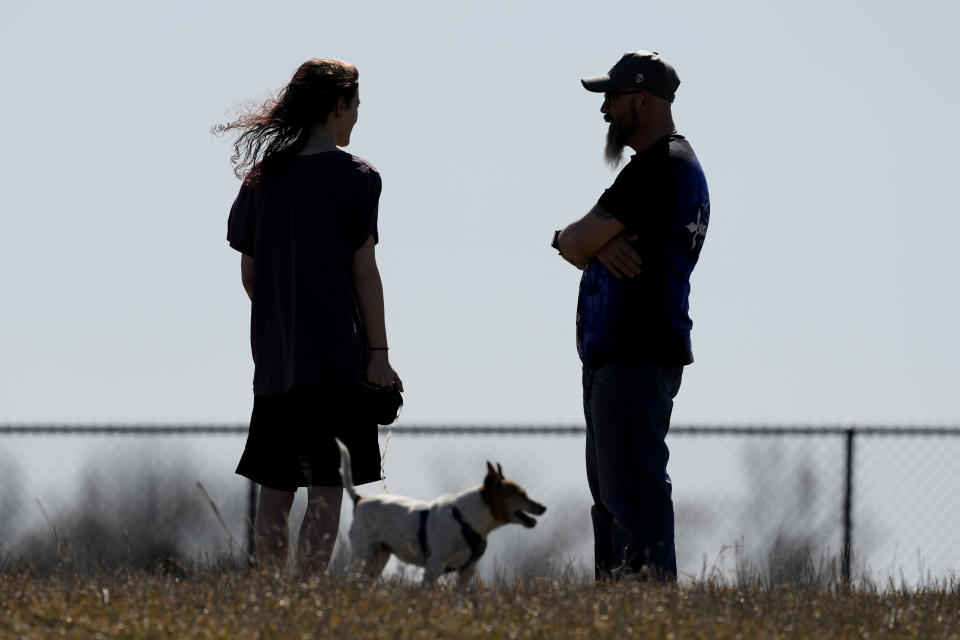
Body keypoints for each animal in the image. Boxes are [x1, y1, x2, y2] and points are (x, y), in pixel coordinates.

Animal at [338, 438, 548, 588]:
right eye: (520, 494)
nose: (543, 507)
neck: (466, 521)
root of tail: (360, 500)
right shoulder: (434, 566)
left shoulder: (467, 572)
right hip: (362, 555)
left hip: (379, 558)